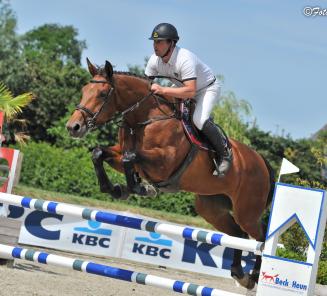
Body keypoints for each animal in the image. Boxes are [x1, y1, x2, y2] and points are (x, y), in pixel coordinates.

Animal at [67, 59, 276, 290]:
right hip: (211, 208)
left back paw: (255, 276)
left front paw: (141, 188)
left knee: (259, 236)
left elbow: (130, 157)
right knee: (238, 235)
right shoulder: (120, 154)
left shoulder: (163, 163)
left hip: (247, 211)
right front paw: (116, 189)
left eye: (103, 94)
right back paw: (240, 274)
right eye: (84, 90)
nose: (73, 127)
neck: (146, 118)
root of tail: (262, 162)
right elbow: (99, 154)